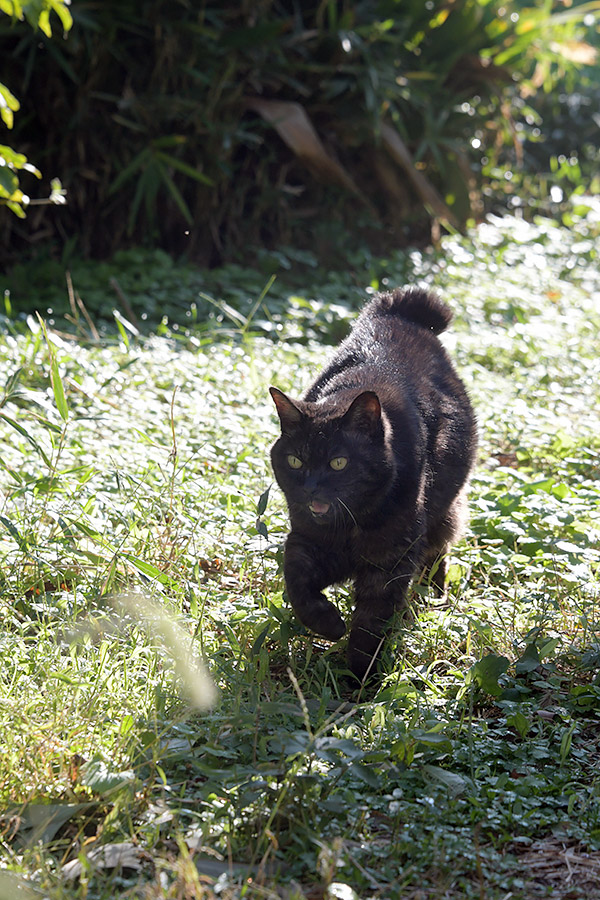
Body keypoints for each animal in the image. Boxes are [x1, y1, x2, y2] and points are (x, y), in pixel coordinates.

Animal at [270, 288, 476, 684]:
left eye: (338, 462)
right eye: (295, 461)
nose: (311, 488)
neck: (351, 526)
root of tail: (401, 314)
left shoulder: (388, 563)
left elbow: (370, 627)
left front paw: (359, 682)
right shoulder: (305, 540)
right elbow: (298, 586)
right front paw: (330, 625)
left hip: (442, 512)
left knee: (437, 553)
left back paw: (432, 601)